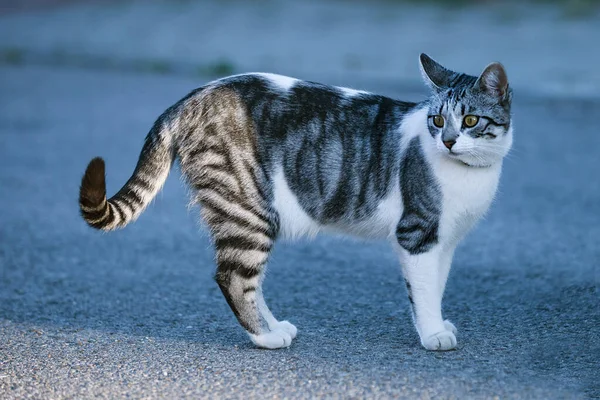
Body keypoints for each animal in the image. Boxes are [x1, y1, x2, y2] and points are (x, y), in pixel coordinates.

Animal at [77, 54, 512, 350]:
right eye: (437, 121)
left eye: (470, 121)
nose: (448, 141)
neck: (471, 174)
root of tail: (187, 99)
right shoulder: (417, 233)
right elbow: (422, 290)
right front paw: (433, 333)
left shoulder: (445, 241)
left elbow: (436, 285)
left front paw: (437, 324)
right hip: (247, 208)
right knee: (233, 277)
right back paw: (266, 338)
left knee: (249, 280)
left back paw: (274, 327)